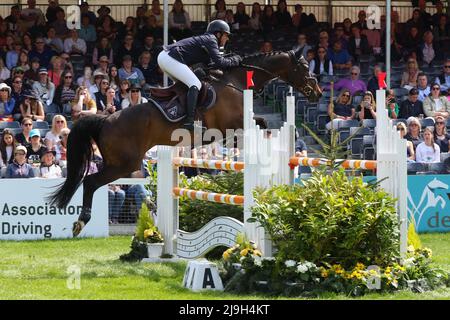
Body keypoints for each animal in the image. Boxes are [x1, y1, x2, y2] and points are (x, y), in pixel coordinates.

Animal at [48, 48, 324, 236]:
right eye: (304, 67)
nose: (318, 92)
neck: (234, 82)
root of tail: (105, 120)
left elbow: (262, 124)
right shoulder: (233, 122)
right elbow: (261, 124)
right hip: (124, 165)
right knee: (91, 182)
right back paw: (81, 222)